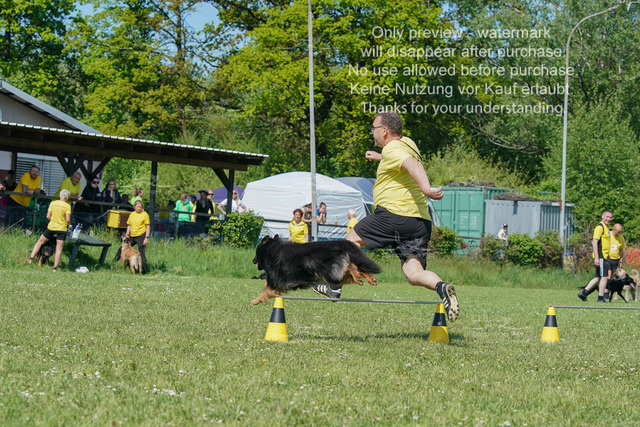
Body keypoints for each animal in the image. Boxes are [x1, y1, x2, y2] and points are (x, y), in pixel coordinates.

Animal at [251, 235, 382, 305]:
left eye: (256, 252)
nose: (253, 260)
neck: (272, 250)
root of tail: (341, 243)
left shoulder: (274, 282)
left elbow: (264, 291)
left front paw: (255, 301)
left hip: (333, 275)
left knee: (350, 266)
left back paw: (359, 277)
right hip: (337, 276)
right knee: (358, 267)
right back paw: (370, 279)